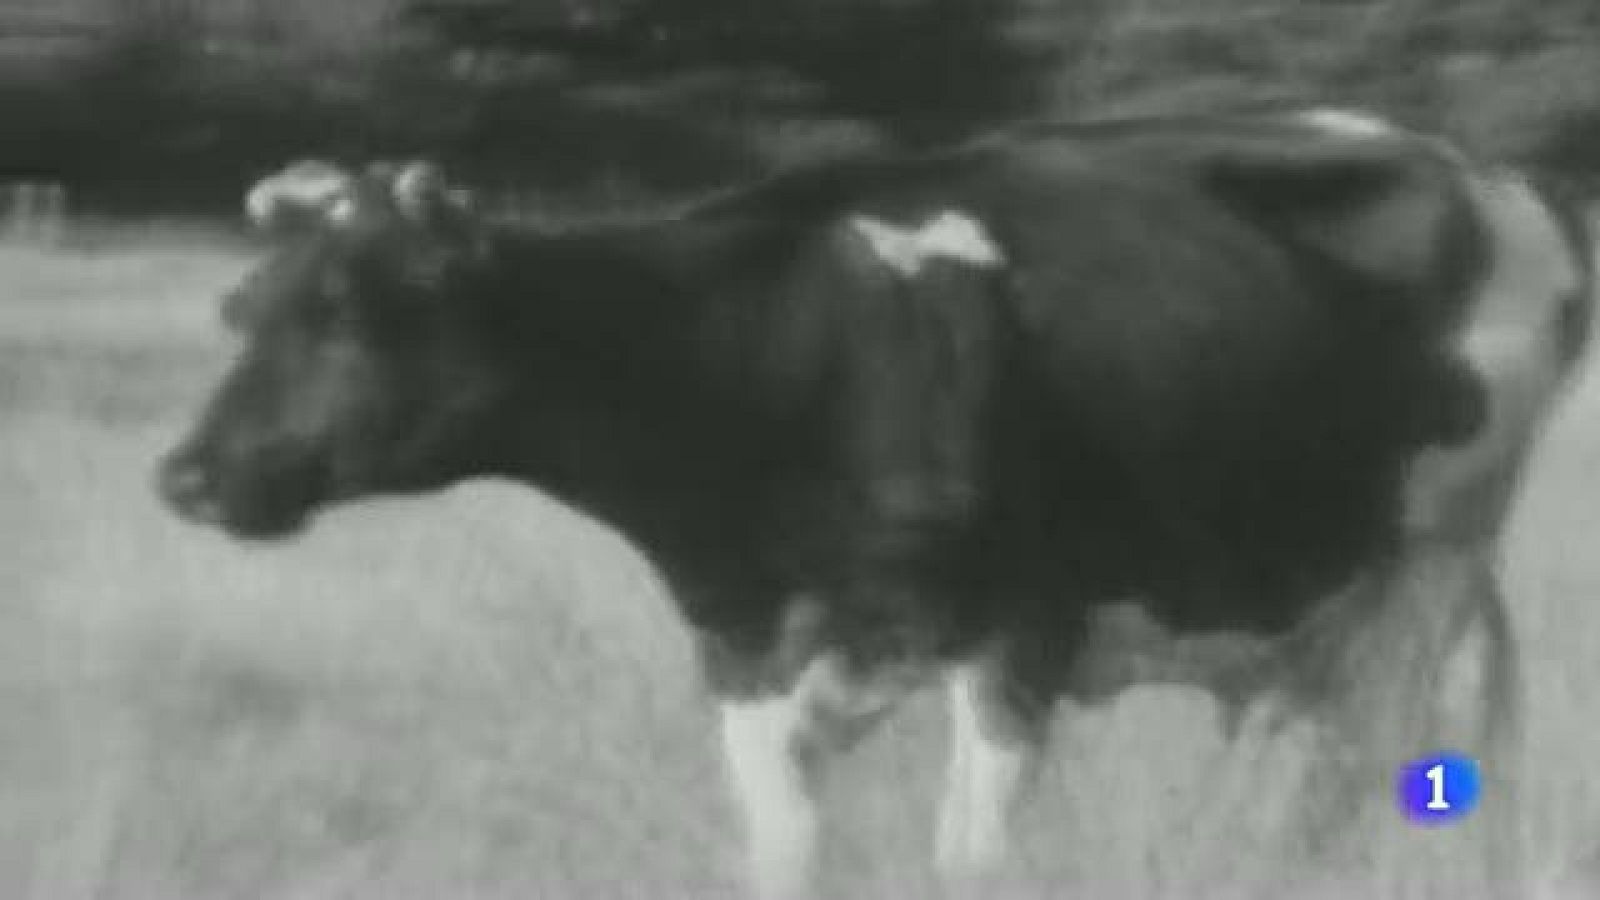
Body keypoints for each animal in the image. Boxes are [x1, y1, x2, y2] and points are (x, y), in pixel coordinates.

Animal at [156, 109, 1594, 898]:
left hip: (1426, 571)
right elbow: (787, 856)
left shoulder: (1017, 637)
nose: (187, 474)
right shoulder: (744, 648)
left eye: (355, 310)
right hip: (1304, 613)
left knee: (1356, 779)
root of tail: (1489, 175)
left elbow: (972, 863)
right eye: (243, 308)